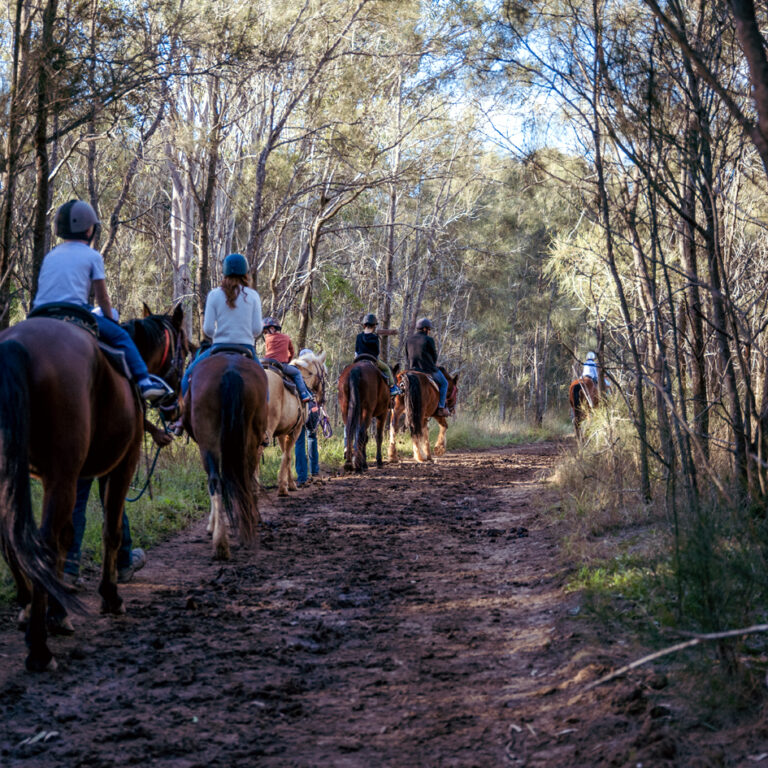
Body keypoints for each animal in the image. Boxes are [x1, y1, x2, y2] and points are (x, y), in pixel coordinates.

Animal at [0, 304, 186, 671]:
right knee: (41, 541)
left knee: (13, 541)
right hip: (62, 474)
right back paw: (39, 648)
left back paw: (28, 607)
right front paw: (109, 596)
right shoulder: (119, 465)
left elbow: (69, 535)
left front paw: (58, 611)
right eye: (185, 351)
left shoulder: (75, 475)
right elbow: (110, 529)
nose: (176, 409)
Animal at [182, 351, 269, 560]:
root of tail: (231, 370)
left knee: (216, 481)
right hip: (249, 439)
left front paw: (211, 525)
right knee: (241, 479)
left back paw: (221, 541)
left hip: (209, 442)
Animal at [263, 350, 327, 496]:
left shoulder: (282, 432)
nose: (323, 399)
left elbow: (285, 455)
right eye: (325, 374)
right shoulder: (296, 430)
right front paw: (285, 487)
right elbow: (288, 456)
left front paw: (288, 483)